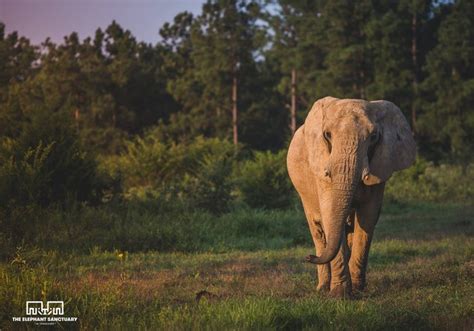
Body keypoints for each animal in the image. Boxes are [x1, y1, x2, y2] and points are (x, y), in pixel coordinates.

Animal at [286, 97, 414, 300]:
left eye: (374, 136)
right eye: (327, 135)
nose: (308, 257)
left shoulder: (380, 167)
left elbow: (367, 218)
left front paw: (357, 289)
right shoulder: (322, 168)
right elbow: (329, 216)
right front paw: (339, 294)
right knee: (317, 230)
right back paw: (323, 287)